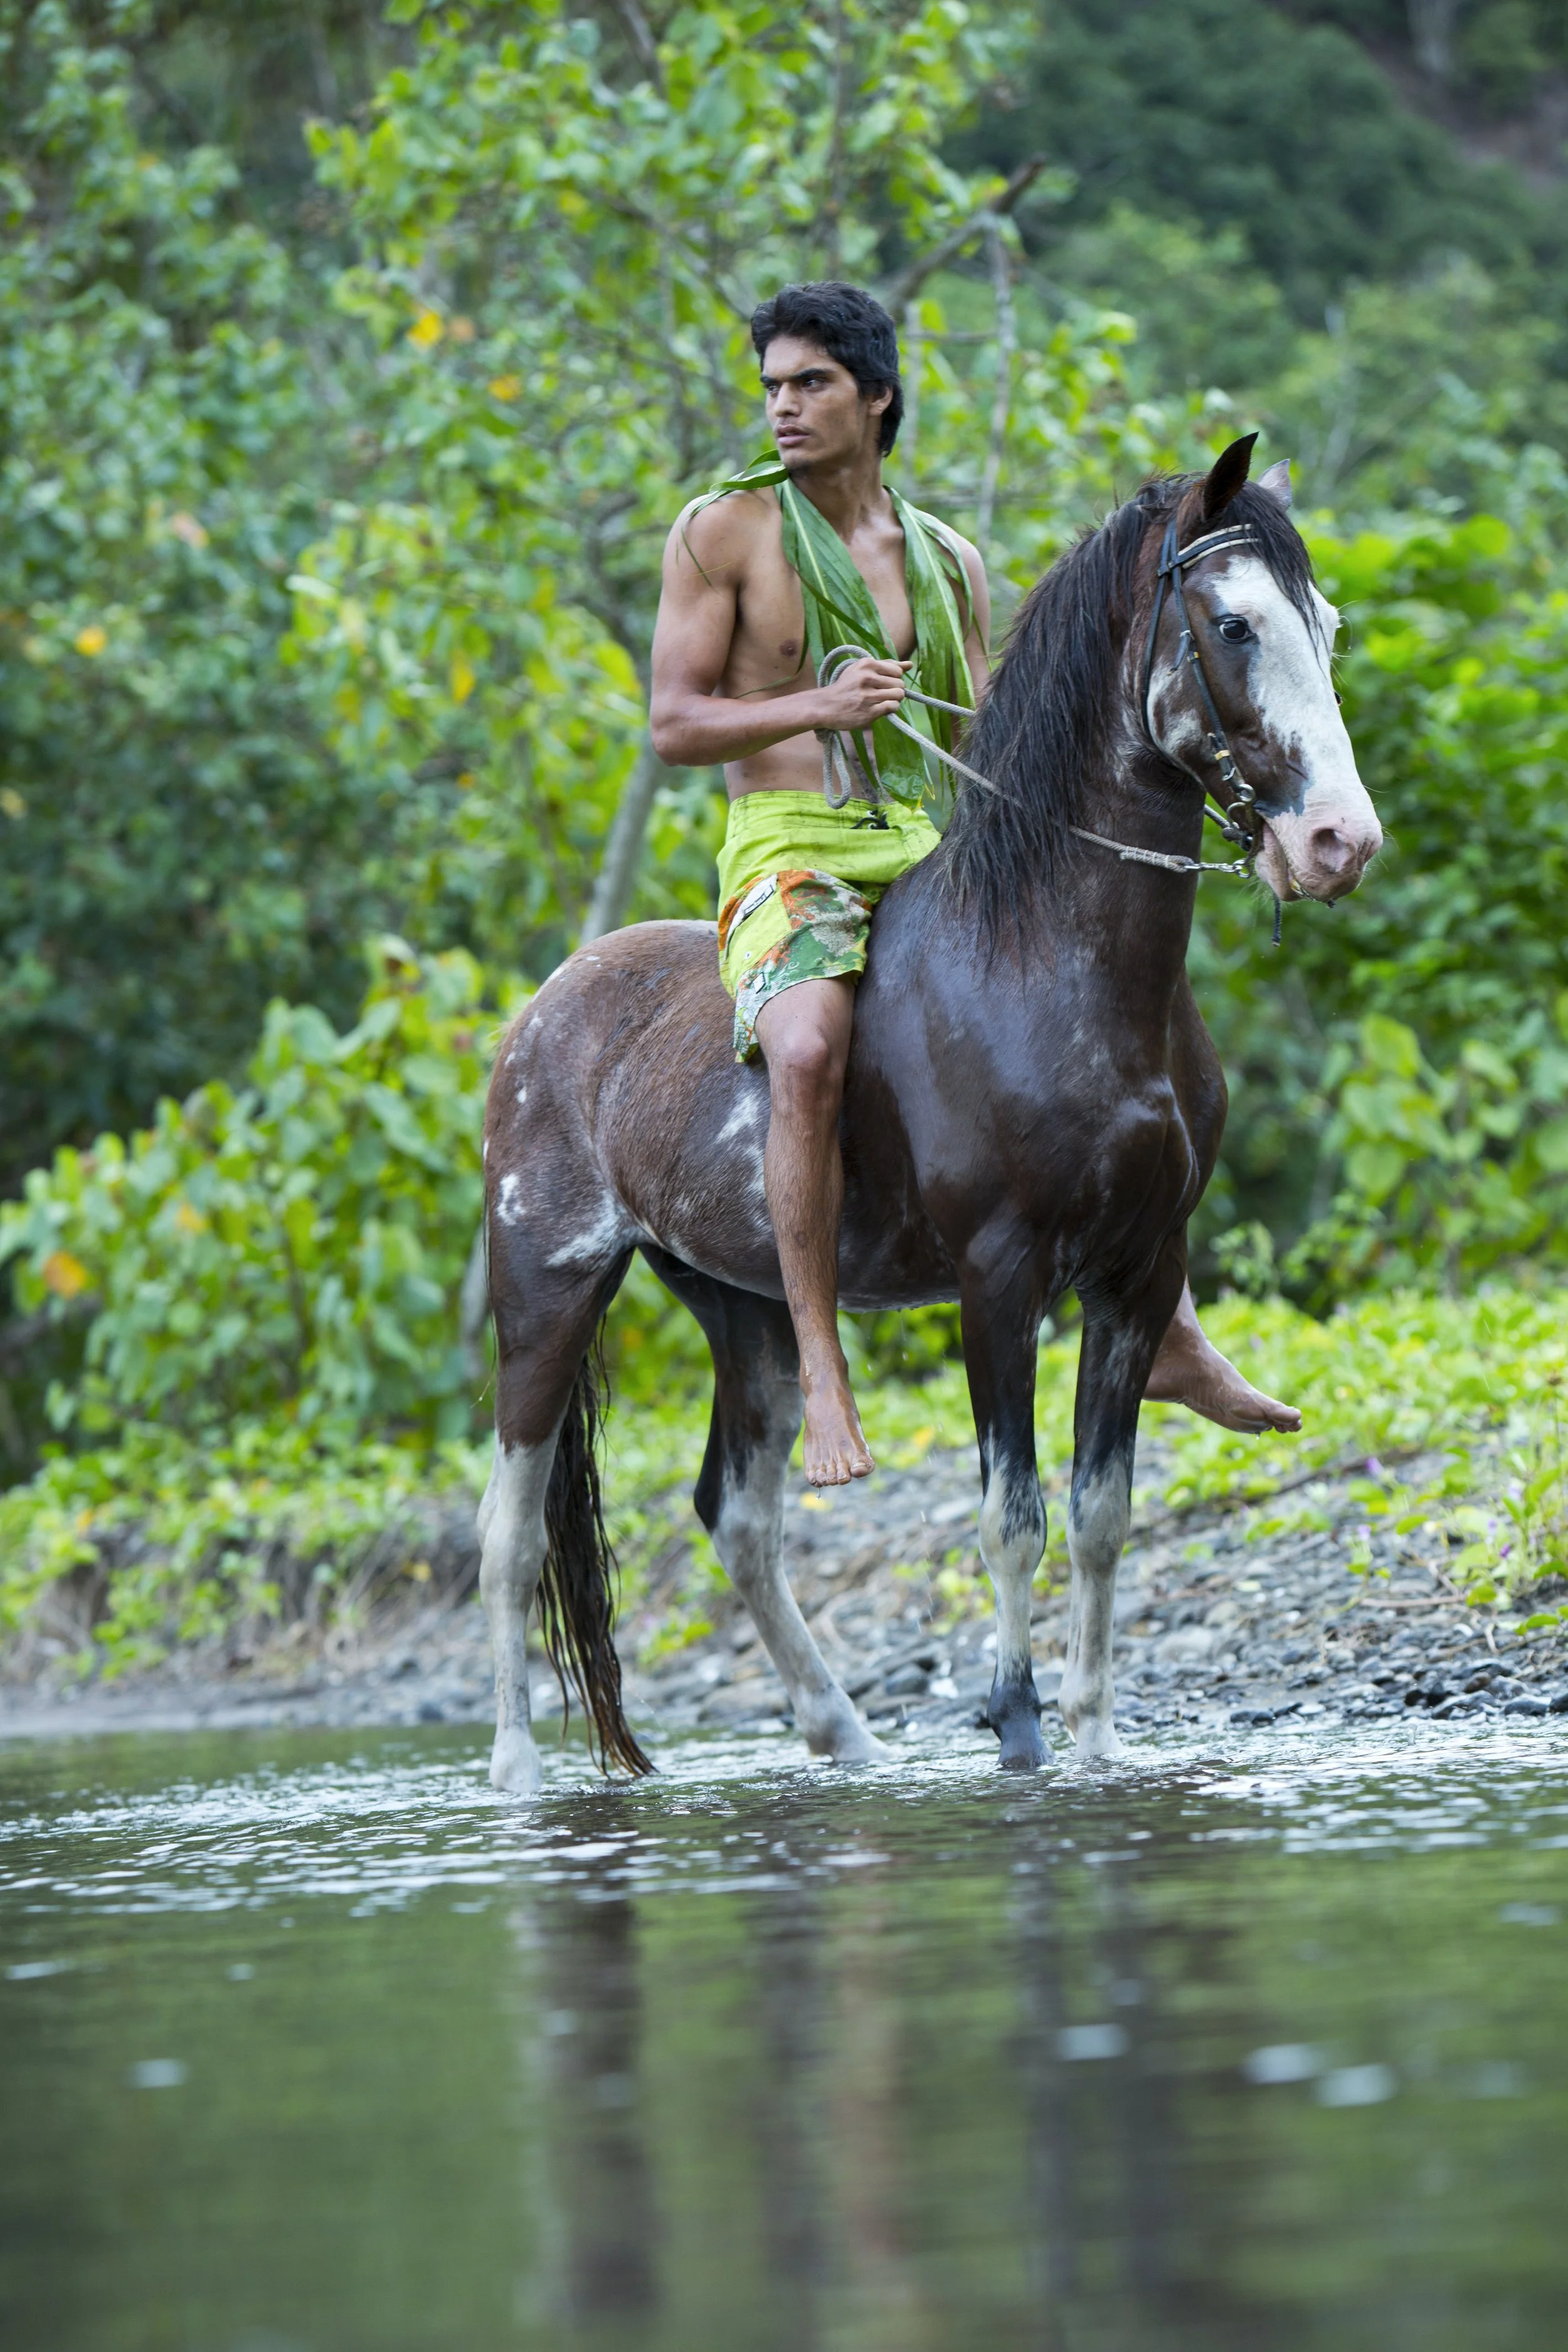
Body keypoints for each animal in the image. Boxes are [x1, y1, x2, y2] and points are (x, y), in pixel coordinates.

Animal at [475, 435, 1382, 1792]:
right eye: (1231, 625)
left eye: (1322, 626)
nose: (1338, 843)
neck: (1050, 964)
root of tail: (540, 1016)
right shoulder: (996, 1279)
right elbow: (1012, 1513)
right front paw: (1015, 1724)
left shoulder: (1137, 1272)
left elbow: (1102, 1516)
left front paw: (1097, 1736)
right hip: (547, 1293)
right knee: (512, 1531)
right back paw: (517, 1775)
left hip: (743, 1312)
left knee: (737, 1518)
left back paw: (844, 1737)